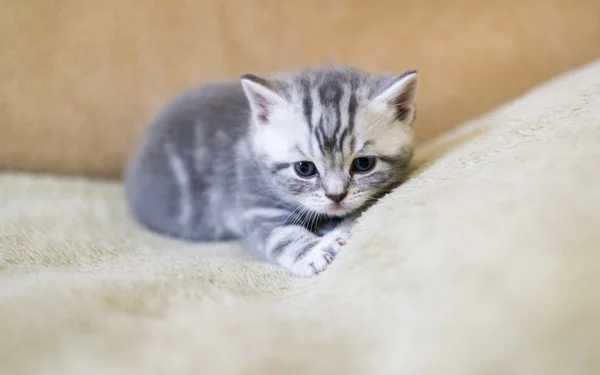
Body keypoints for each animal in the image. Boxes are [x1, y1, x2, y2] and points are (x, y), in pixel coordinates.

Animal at [124, 64, 420, 278]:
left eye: (363, 164)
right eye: (304, 168)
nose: (336, 196)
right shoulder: (254, 204)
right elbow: (282, 236)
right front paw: (317, 250)